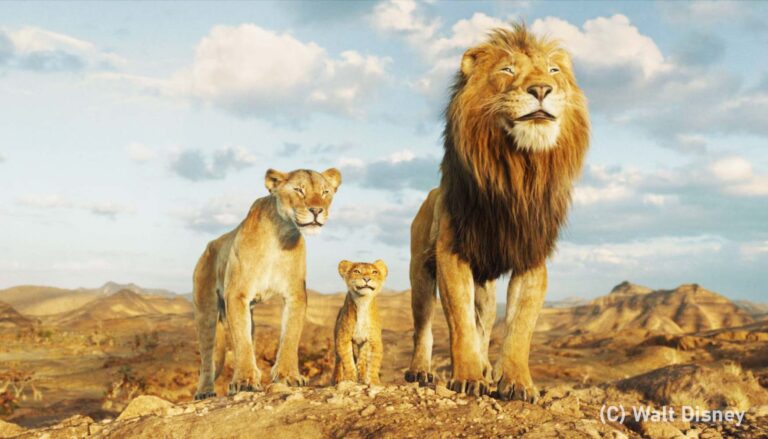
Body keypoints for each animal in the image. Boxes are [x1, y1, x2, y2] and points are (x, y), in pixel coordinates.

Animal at [193, 167, 342, 399]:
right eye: (299, 190)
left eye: (325, 192)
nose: (317, 210)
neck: (280, 236)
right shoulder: (237, 294)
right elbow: (241, 342)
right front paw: (244, 381)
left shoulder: (295, 294)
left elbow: (290, 335)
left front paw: (289, 375)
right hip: (206, 310)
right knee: (208, 355)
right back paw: (205, 391)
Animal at [405, 24, 589, 401]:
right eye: (507, 70)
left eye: (553, 71)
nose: (541, 90)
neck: (518, 171)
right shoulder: (452, 252)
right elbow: (460, 323)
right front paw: (467, 377)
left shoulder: (531, 256)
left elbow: (520, 327)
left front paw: (516, 383)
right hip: (420, 272)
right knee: (424, 325)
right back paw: (421, 371)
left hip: (485, 288)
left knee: (485, 324)